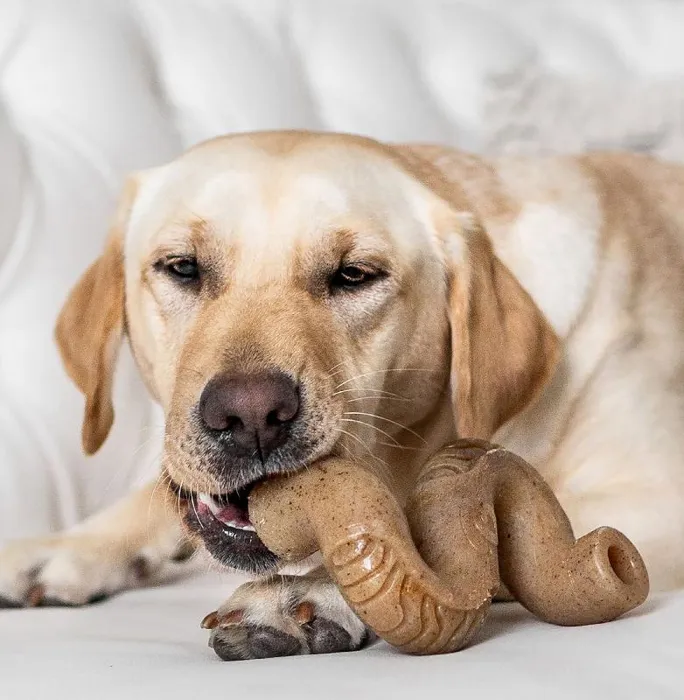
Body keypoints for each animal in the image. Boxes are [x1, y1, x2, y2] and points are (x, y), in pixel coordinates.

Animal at [1, 131, 683, 660]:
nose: (251, 415)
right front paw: (65, 547)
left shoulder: (652, 502)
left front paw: (307, 592)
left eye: (354, 275)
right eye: (183, 267)